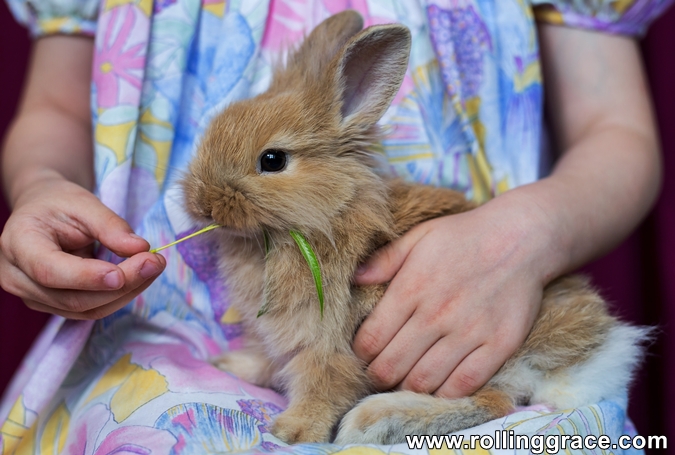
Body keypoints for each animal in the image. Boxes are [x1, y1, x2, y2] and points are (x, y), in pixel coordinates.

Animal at [182, 10, 649, 445]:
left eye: (273, 160)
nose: (202, 203)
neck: (330, 214)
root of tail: (600, 353)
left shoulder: (328, 346)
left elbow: (322, 389)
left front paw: (291, 432)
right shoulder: (280, 339)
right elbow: (269, 360)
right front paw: (235, 365)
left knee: (492, 402)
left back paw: (374, 420)